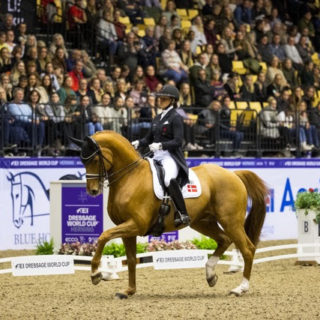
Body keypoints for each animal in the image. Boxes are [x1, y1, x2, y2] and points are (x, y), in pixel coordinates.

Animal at [70, 131, 268, 298]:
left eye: (95, 159)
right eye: (82, 160)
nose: (92, 191)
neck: (130, 177)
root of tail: (233, 174)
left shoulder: (136, 224)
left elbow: (103, 236)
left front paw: (96, 274)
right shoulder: (128, 229)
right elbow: (132, 260)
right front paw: (129, 291)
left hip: (231, 221)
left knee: (247, 249)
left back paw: (240, 288)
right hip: (203, 222)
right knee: (224, 240)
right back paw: (210, 275)